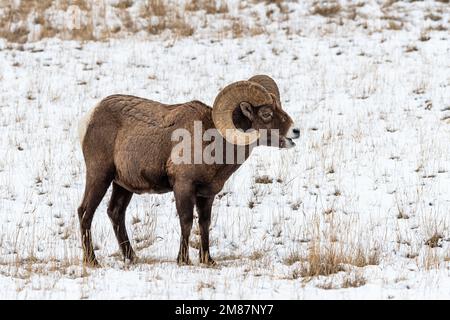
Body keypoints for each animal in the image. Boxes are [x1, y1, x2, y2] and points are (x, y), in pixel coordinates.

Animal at [79, 75, 300, 264]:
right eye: (266, 113)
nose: (295, 131)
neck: (214, 143)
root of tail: (90, 118)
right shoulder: (183, 188)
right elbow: (186, 222)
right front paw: (183, 260)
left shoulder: (206, 195)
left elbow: (204, 224)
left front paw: (208, 260)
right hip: (100, 176)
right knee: (85, 212)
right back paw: (92, 261)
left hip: (123, 185)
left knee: (115, 213)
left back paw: (131, 258)